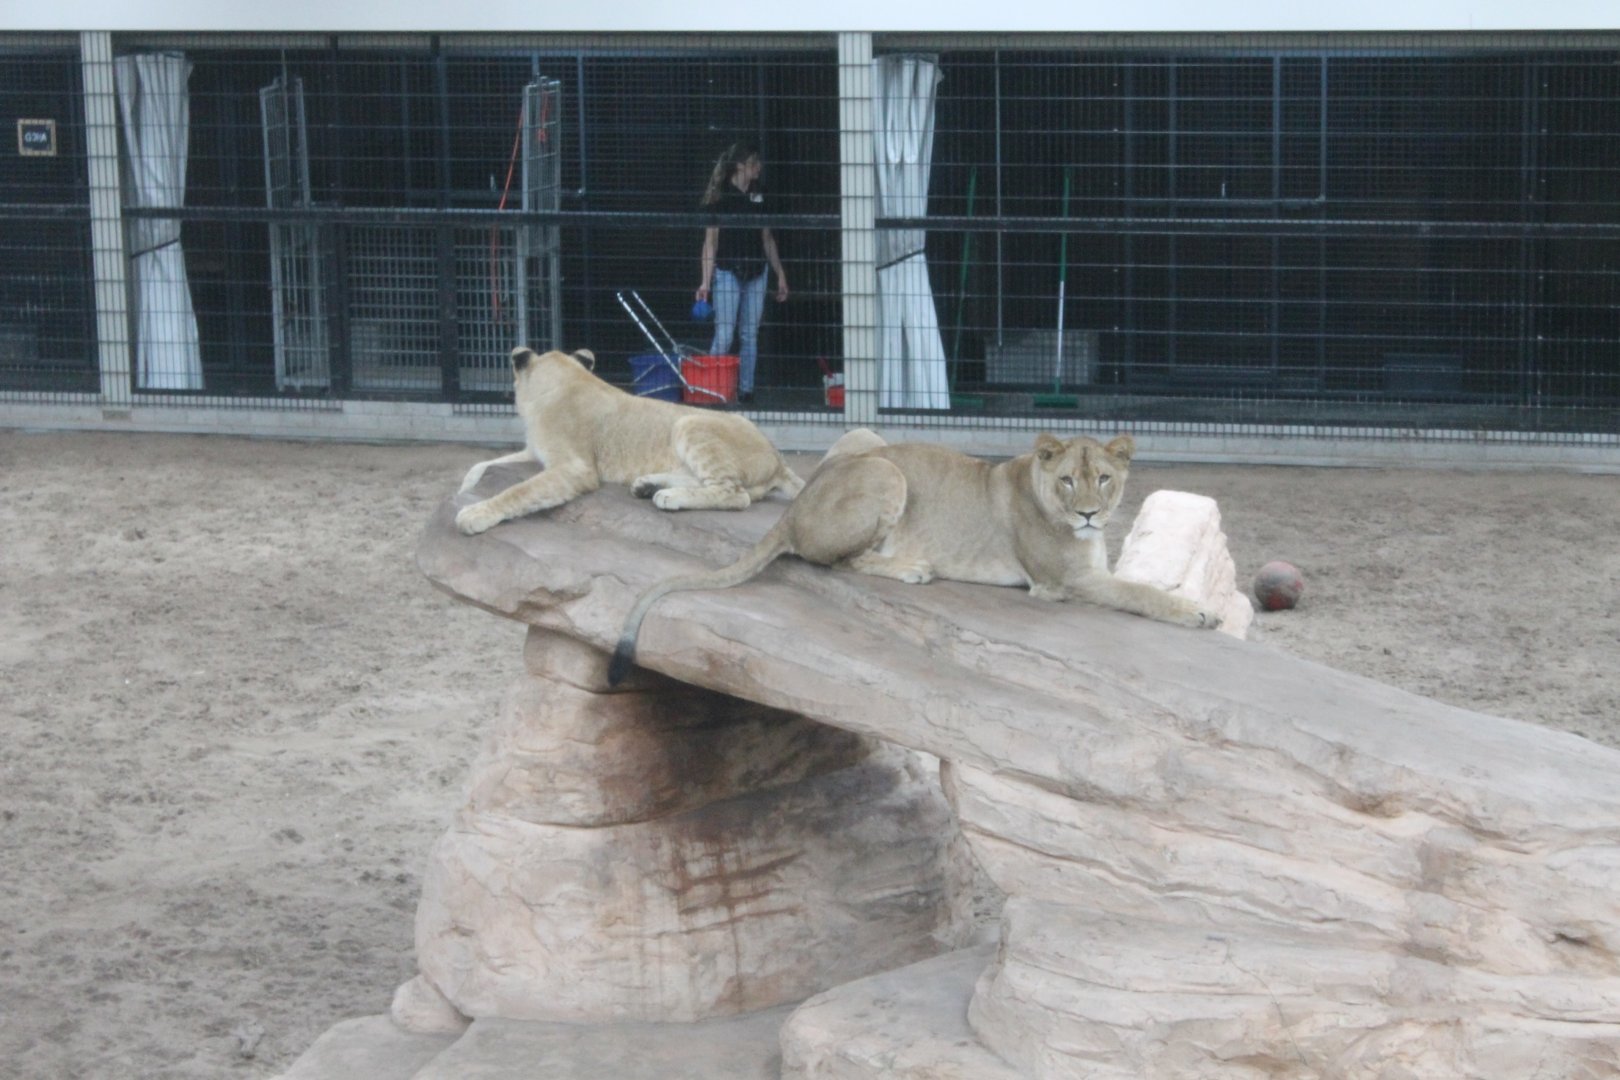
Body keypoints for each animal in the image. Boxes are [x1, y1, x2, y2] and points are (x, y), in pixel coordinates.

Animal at [454, 347, 805, 536]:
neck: (566, 378)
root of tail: (778, 457)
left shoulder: (575, 468)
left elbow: (519, 491)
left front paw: (475, 513)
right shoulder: (535, 454)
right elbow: (484, 462)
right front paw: (465, 487)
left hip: (689, 423)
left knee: (735, 494)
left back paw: (667, 496)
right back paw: (648, 485)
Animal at [607, 428, 1221, 684]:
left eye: (1105, 479)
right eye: (1069, 480)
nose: (1091, 514)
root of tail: (797, 505)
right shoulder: (1064, 582)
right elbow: (1142, 594)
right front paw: (1199, 613)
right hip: (884, 470)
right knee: (837, 563)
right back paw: (914, 569)